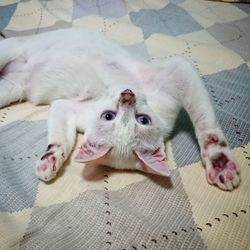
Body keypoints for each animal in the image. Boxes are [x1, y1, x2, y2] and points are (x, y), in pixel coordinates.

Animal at [0, 27, 240, 190]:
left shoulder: (66, 107)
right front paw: (220, 162)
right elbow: (206, 123)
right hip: (9, 50)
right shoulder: (178, 69)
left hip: (9, 89)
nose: (127, 96)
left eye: (142, 120)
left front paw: (51, 159)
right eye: (108, 116)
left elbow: (206, 124)